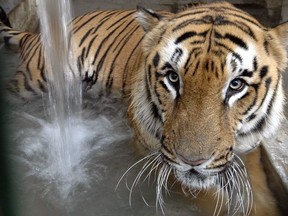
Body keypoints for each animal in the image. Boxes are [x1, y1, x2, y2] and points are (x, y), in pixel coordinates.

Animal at [0, 2, 288, 216]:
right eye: (173, 78)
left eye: (236, 84)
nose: (193, 162)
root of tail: (38, 35)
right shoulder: (153, 153)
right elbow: (199, 191)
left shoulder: (248, 148)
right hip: (31, 82)